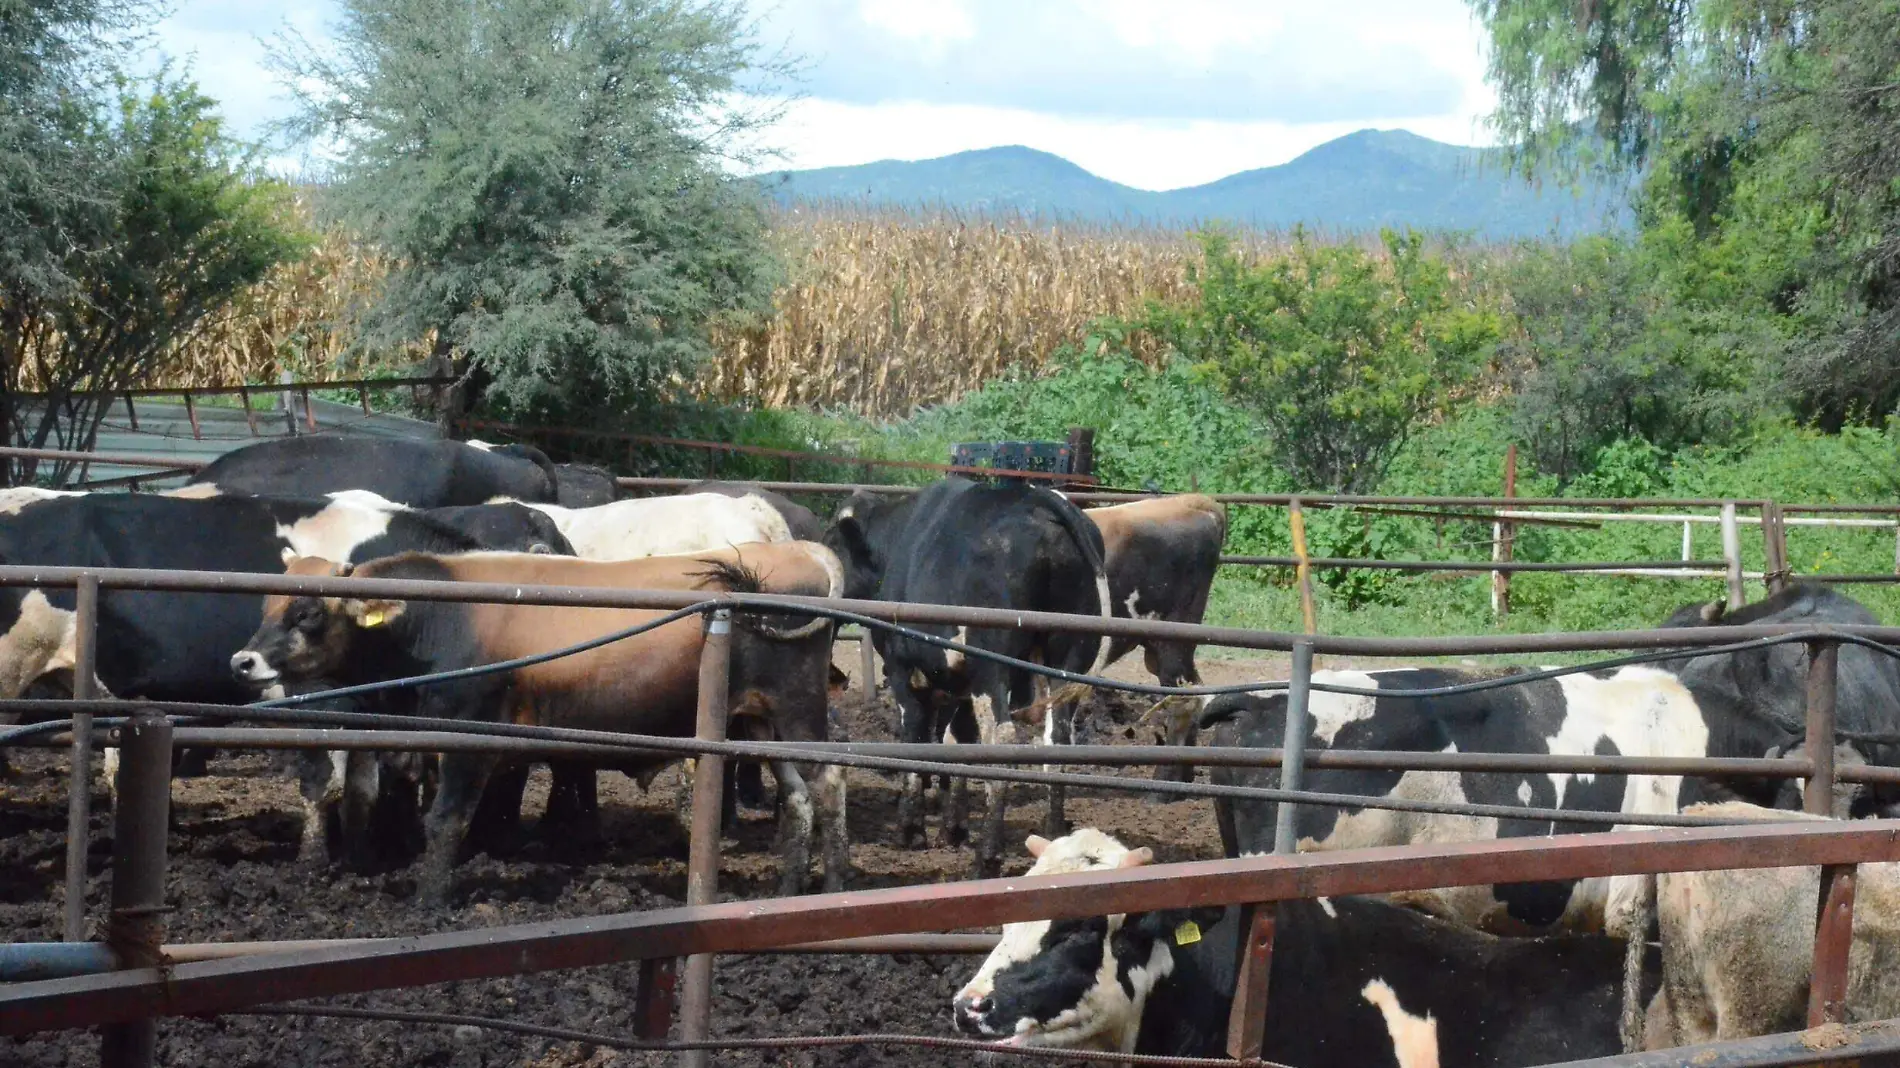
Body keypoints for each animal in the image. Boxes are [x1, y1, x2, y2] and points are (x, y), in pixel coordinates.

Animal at [229, 539, 847, 896]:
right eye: (266, 604)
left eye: (307, 613)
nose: (242, 661)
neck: (437, 619)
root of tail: (803, 554)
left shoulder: (469, 736)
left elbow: (446, 820)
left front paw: (430, 900)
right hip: (761, 724)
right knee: (798, 796)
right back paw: (789, 889)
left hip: (796, 707)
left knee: (830, 781)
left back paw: (834, 885)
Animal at [820, 478, 1109, 870]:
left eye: (832, 543)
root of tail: (1037, 498)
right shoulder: (959, 682)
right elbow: (959, 741)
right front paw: (953, 828)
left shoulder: (902, 668)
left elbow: (916, 737)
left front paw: (911, 830)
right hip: (1065, 662)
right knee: (1057, 738)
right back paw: (1053, 835)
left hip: (993, 666)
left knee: (1001, 736)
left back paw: (988, 854)